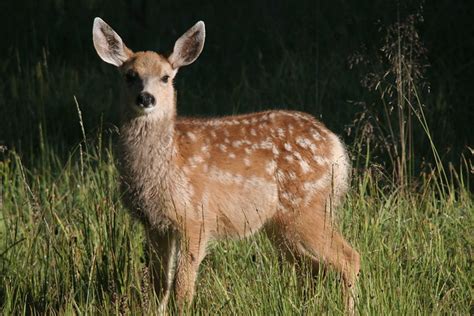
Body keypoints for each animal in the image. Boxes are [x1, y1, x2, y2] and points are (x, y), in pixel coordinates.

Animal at [91, 17, 360, 316]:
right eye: (130, 75)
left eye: (166, 77)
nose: (146, 98)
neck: (166, 165)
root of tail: (335, 145)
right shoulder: (155, 225)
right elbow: (159, 286)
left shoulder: (195, 218)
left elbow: (182, 290)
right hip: (282, 223)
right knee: (312, 267)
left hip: (307, 208)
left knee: (349, 257)